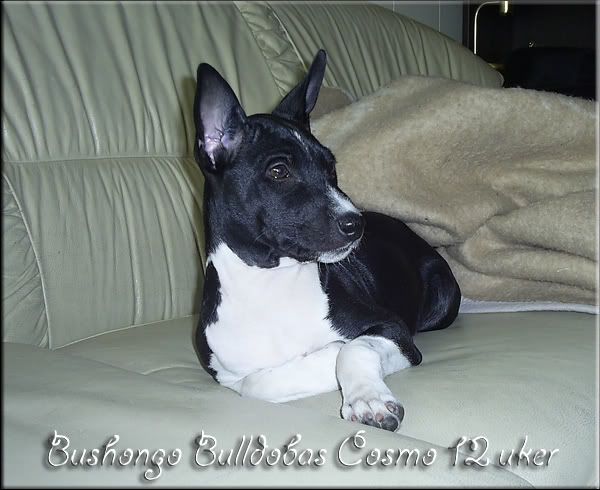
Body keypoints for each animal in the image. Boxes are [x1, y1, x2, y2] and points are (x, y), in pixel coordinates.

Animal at [193, 49, 461, 432]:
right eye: (279, 171)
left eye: (331, 169)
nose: (356, 223)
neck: (271, 286)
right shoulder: (227, 372)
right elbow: (257, 383)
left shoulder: (392, 329)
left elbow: (352, 348)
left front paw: (366, 397)